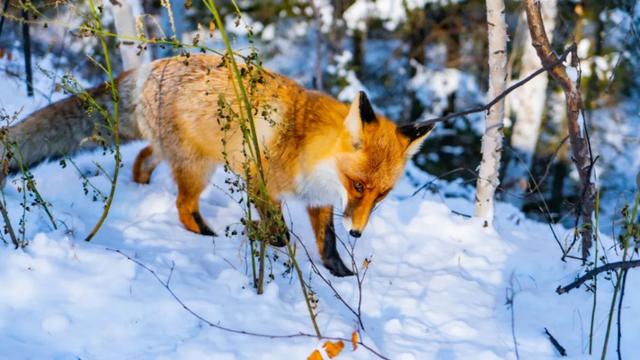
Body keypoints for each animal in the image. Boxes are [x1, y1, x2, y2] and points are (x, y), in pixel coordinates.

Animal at [2, 54, 432, 278]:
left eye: (382, 194)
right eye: (358, 185)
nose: (358, 232)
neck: (306, 145)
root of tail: (148, 67)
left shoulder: (318, 199)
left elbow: (327, 243)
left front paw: (341, 275)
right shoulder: (260, 179)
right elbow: (280, 234)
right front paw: (263, 237)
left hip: (181, 154)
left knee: (144, 157)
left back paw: (142, 186)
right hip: (199, 168)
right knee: (182, 206)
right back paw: (206, 236)